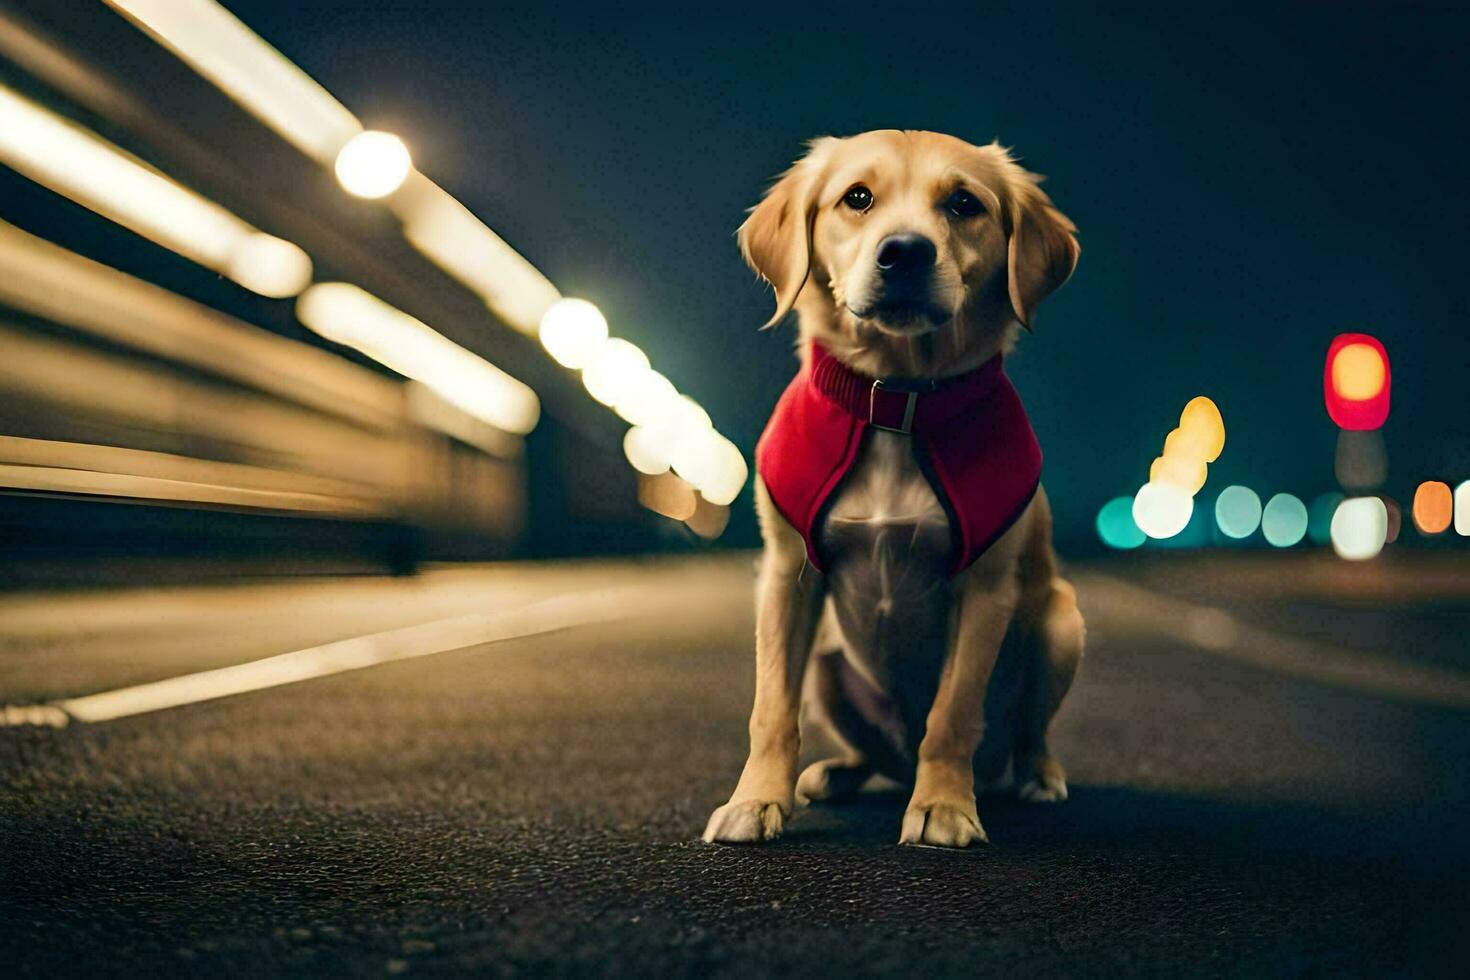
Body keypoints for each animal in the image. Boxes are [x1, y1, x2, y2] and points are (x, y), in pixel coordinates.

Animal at [705, 132, 1087, 852]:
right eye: (857, 197)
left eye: (964, 203)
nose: (905, 251)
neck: (896, 400)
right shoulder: (785, 575)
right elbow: (771, 711)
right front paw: (755, 800)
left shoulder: (986, 587)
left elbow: (953, 714)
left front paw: (942, 807)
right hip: (827, 663)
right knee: (868, 751)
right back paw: (835, 773)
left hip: (1061, 624)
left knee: (1024, 732)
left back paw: (1037, 774)